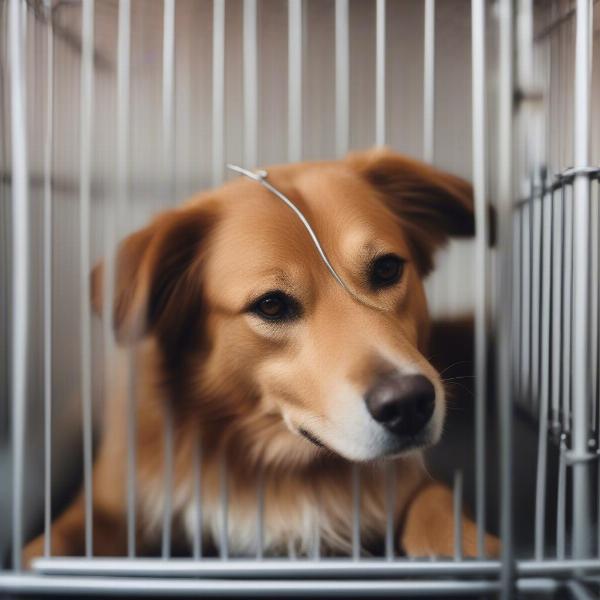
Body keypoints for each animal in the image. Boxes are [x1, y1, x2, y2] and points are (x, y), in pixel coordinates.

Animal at [23, 148, 500, 564]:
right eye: (271, 305)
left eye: (386, 269)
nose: (409, 404)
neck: (266, 461)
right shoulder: (107, 507)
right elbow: (47, 546)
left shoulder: (408, 482)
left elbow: (438, 505)